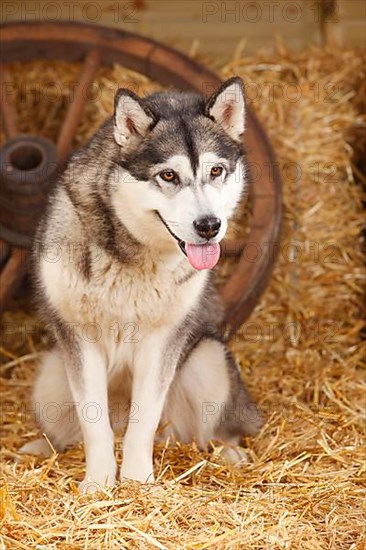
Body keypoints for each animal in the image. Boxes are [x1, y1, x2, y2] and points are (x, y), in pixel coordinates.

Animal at [20, 75, 262, 494]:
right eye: (168, 175)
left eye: (216, 171)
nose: (209, 225)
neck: (133, 255)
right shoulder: (79, 339)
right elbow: (93, 423)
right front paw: (99, 485)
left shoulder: (162, 340)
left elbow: (143, 420)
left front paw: (136, 483)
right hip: (50, 376)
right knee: (68, 434)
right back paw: (40, 448)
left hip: (209, 358)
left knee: (205, 433)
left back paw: (227, 451)